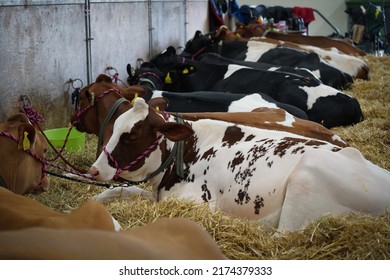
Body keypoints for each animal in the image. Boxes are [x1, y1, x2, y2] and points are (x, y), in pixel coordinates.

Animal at [89, 98, 390, 232]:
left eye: (130, 136)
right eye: (114, 127)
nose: (94, 169)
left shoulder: (197, 203)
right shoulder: (158, 192)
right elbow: (118, 190)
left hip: (304, 181)